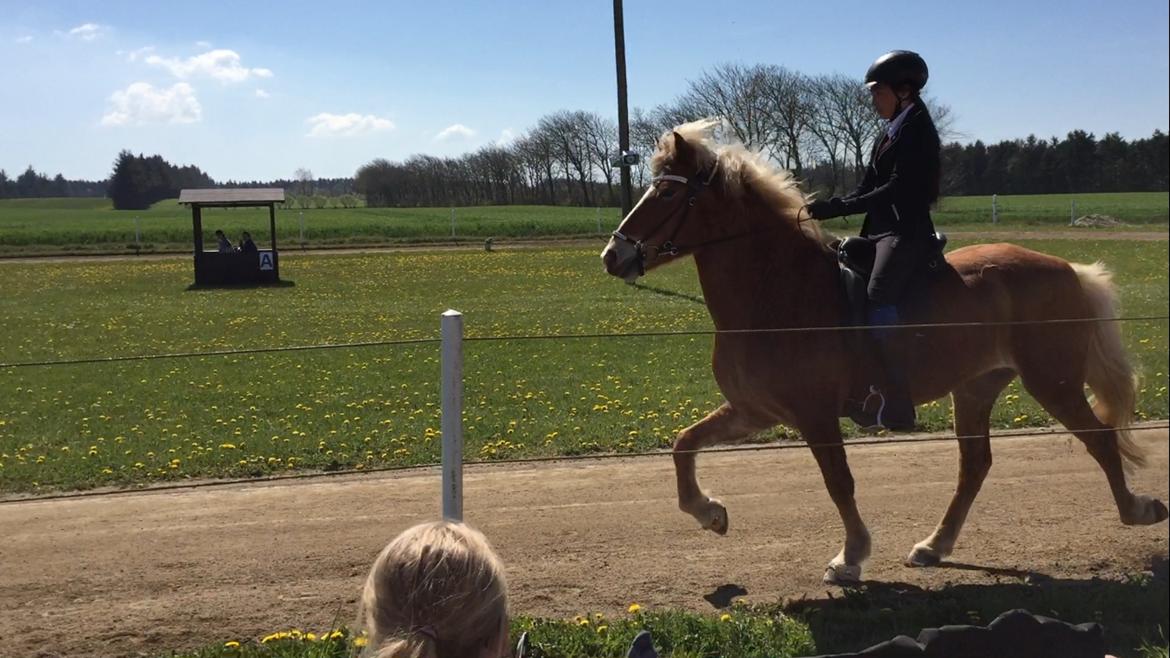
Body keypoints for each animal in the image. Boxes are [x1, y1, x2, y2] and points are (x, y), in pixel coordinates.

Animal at [599, 117, 1165, 578]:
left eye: (666, 195)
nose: (612, 255)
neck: (777, 292)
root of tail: (1067, 268)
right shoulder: (753, 410)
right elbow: (684, 444)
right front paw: (709, 512)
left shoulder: (814, 415)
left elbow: (839, 482)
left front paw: (850, 557)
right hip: (976, 388)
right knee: (975, 465)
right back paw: (934, 546)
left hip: (1053, 382)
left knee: (1099, 439)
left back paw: (1136, 510)